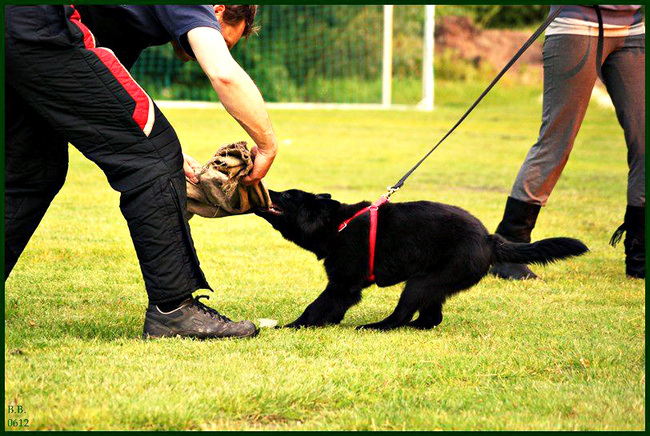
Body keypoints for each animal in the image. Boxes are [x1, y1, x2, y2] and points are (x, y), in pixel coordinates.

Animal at [255, 189, 588, 330]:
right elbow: (329, 308)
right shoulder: (343, 287)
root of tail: (489, 240)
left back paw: (376, 327)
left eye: (287, 196)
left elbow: (316, 306)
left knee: (403, 315)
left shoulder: (344, 284)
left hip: (420, 283)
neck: (338, 224)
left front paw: (294, 326)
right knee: (431, 319)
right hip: (434, 285)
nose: (266, 187)